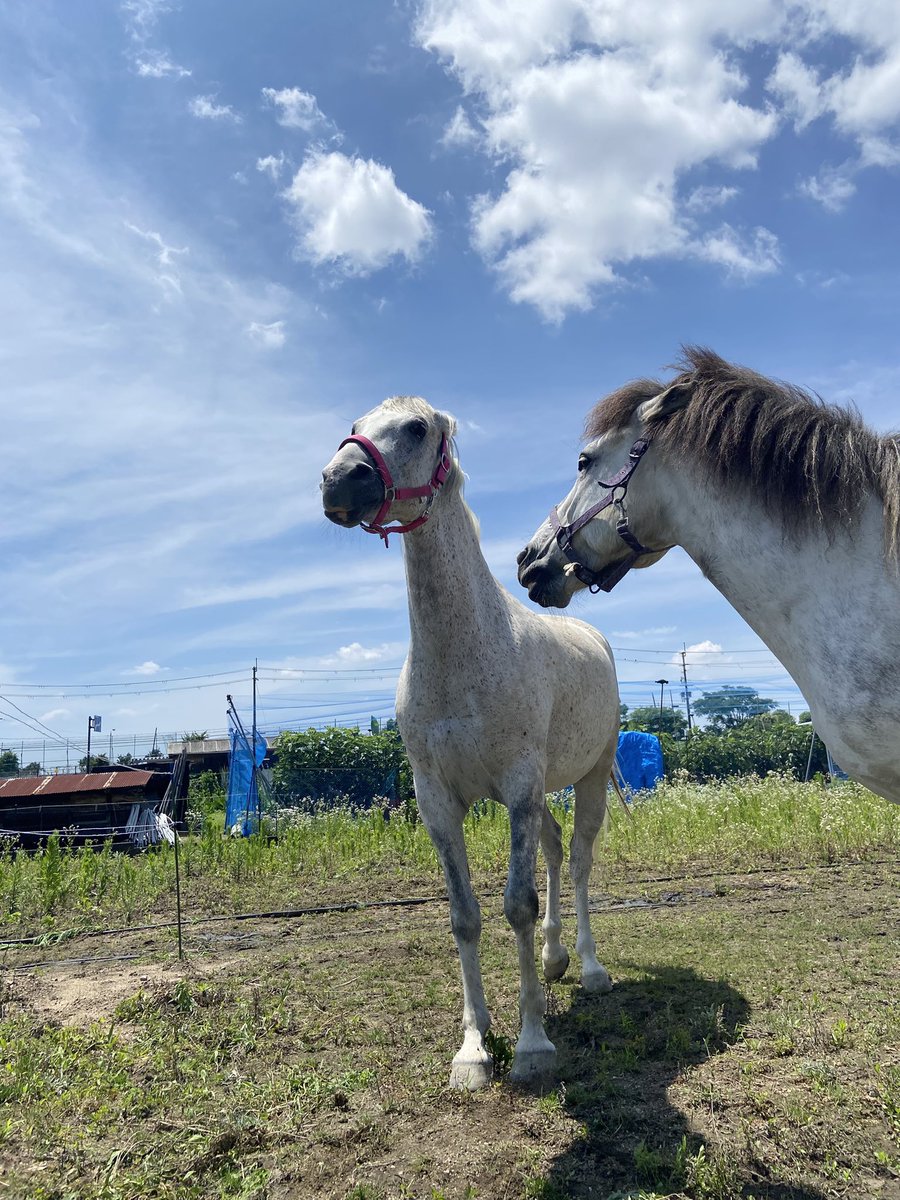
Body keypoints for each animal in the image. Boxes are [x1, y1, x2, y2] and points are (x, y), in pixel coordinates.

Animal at [321, 396, 621, 1088]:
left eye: (416, 429)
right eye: (356, 425)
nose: (338, 481)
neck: (466, 653)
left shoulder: (515, 787)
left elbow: (517, 906)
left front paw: (534, 1045)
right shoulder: (440, 802)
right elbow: (465, 916)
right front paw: (475, 1047)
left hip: (588, 776)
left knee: (581, 858)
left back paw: (590, 968)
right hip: (541, 796)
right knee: (556, 849)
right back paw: (556, 959)